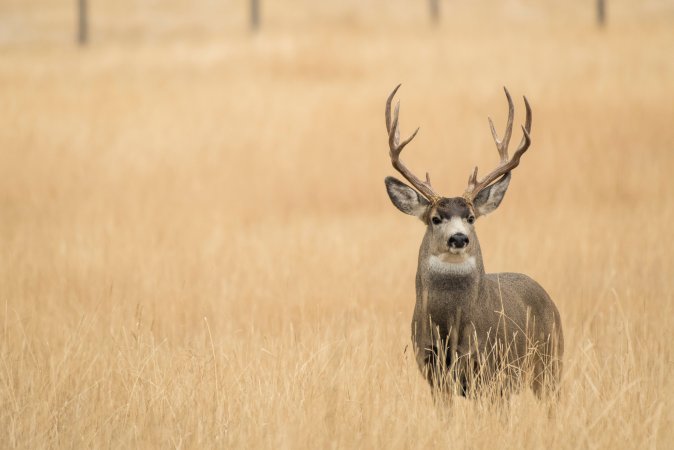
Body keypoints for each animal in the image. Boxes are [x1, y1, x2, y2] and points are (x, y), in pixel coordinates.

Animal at [384, 84, 560, 398]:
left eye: (471, 217)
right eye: (435, 218)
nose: (459, 238)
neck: (451, 326)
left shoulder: (493, 370)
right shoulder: (433, 371)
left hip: (550, 362)